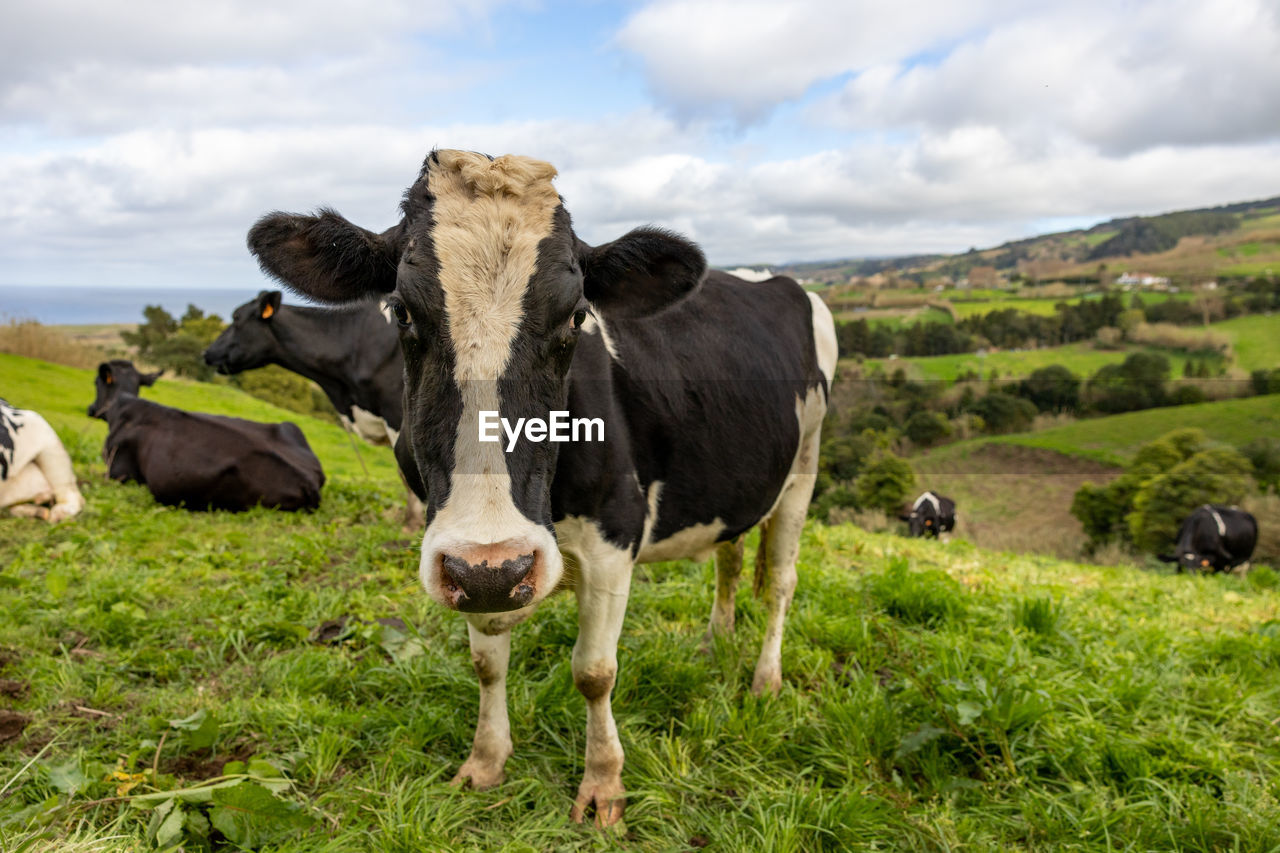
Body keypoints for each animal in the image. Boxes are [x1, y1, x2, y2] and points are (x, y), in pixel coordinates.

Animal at [88, 361, 325, 512]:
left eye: (96, 383)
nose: (91, 409)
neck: (122, 406)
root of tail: (308, 480)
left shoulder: (118, 473)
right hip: (290, 426)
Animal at [247, 147, 839, 824]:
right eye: (401, 312)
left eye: (577, 316)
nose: (492, 568)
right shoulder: (475, 566)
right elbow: (486, 662)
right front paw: (485, 760)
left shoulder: (613, 537)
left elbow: (594, 671)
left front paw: (603, 784)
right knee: (731, 557)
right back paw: (715, 643)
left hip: (805, 466)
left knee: (782, 582)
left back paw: (765, 679)